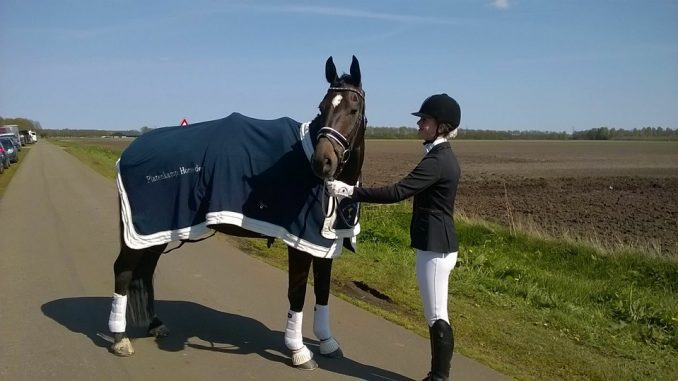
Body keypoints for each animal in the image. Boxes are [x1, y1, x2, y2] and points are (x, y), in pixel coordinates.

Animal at [107, 55, 366, 370]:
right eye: (322, 107)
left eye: (353, 108)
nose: (322, 162)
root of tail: (130, 150)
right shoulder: (299, 242)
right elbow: (297, 293)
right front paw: (299, 350)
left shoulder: (324, 244)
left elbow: (323, 292)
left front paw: (327, 342)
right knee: (123, 271)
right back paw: (119, 338)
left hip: (158, 231)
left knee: (145, 270)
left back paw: (154, 324)